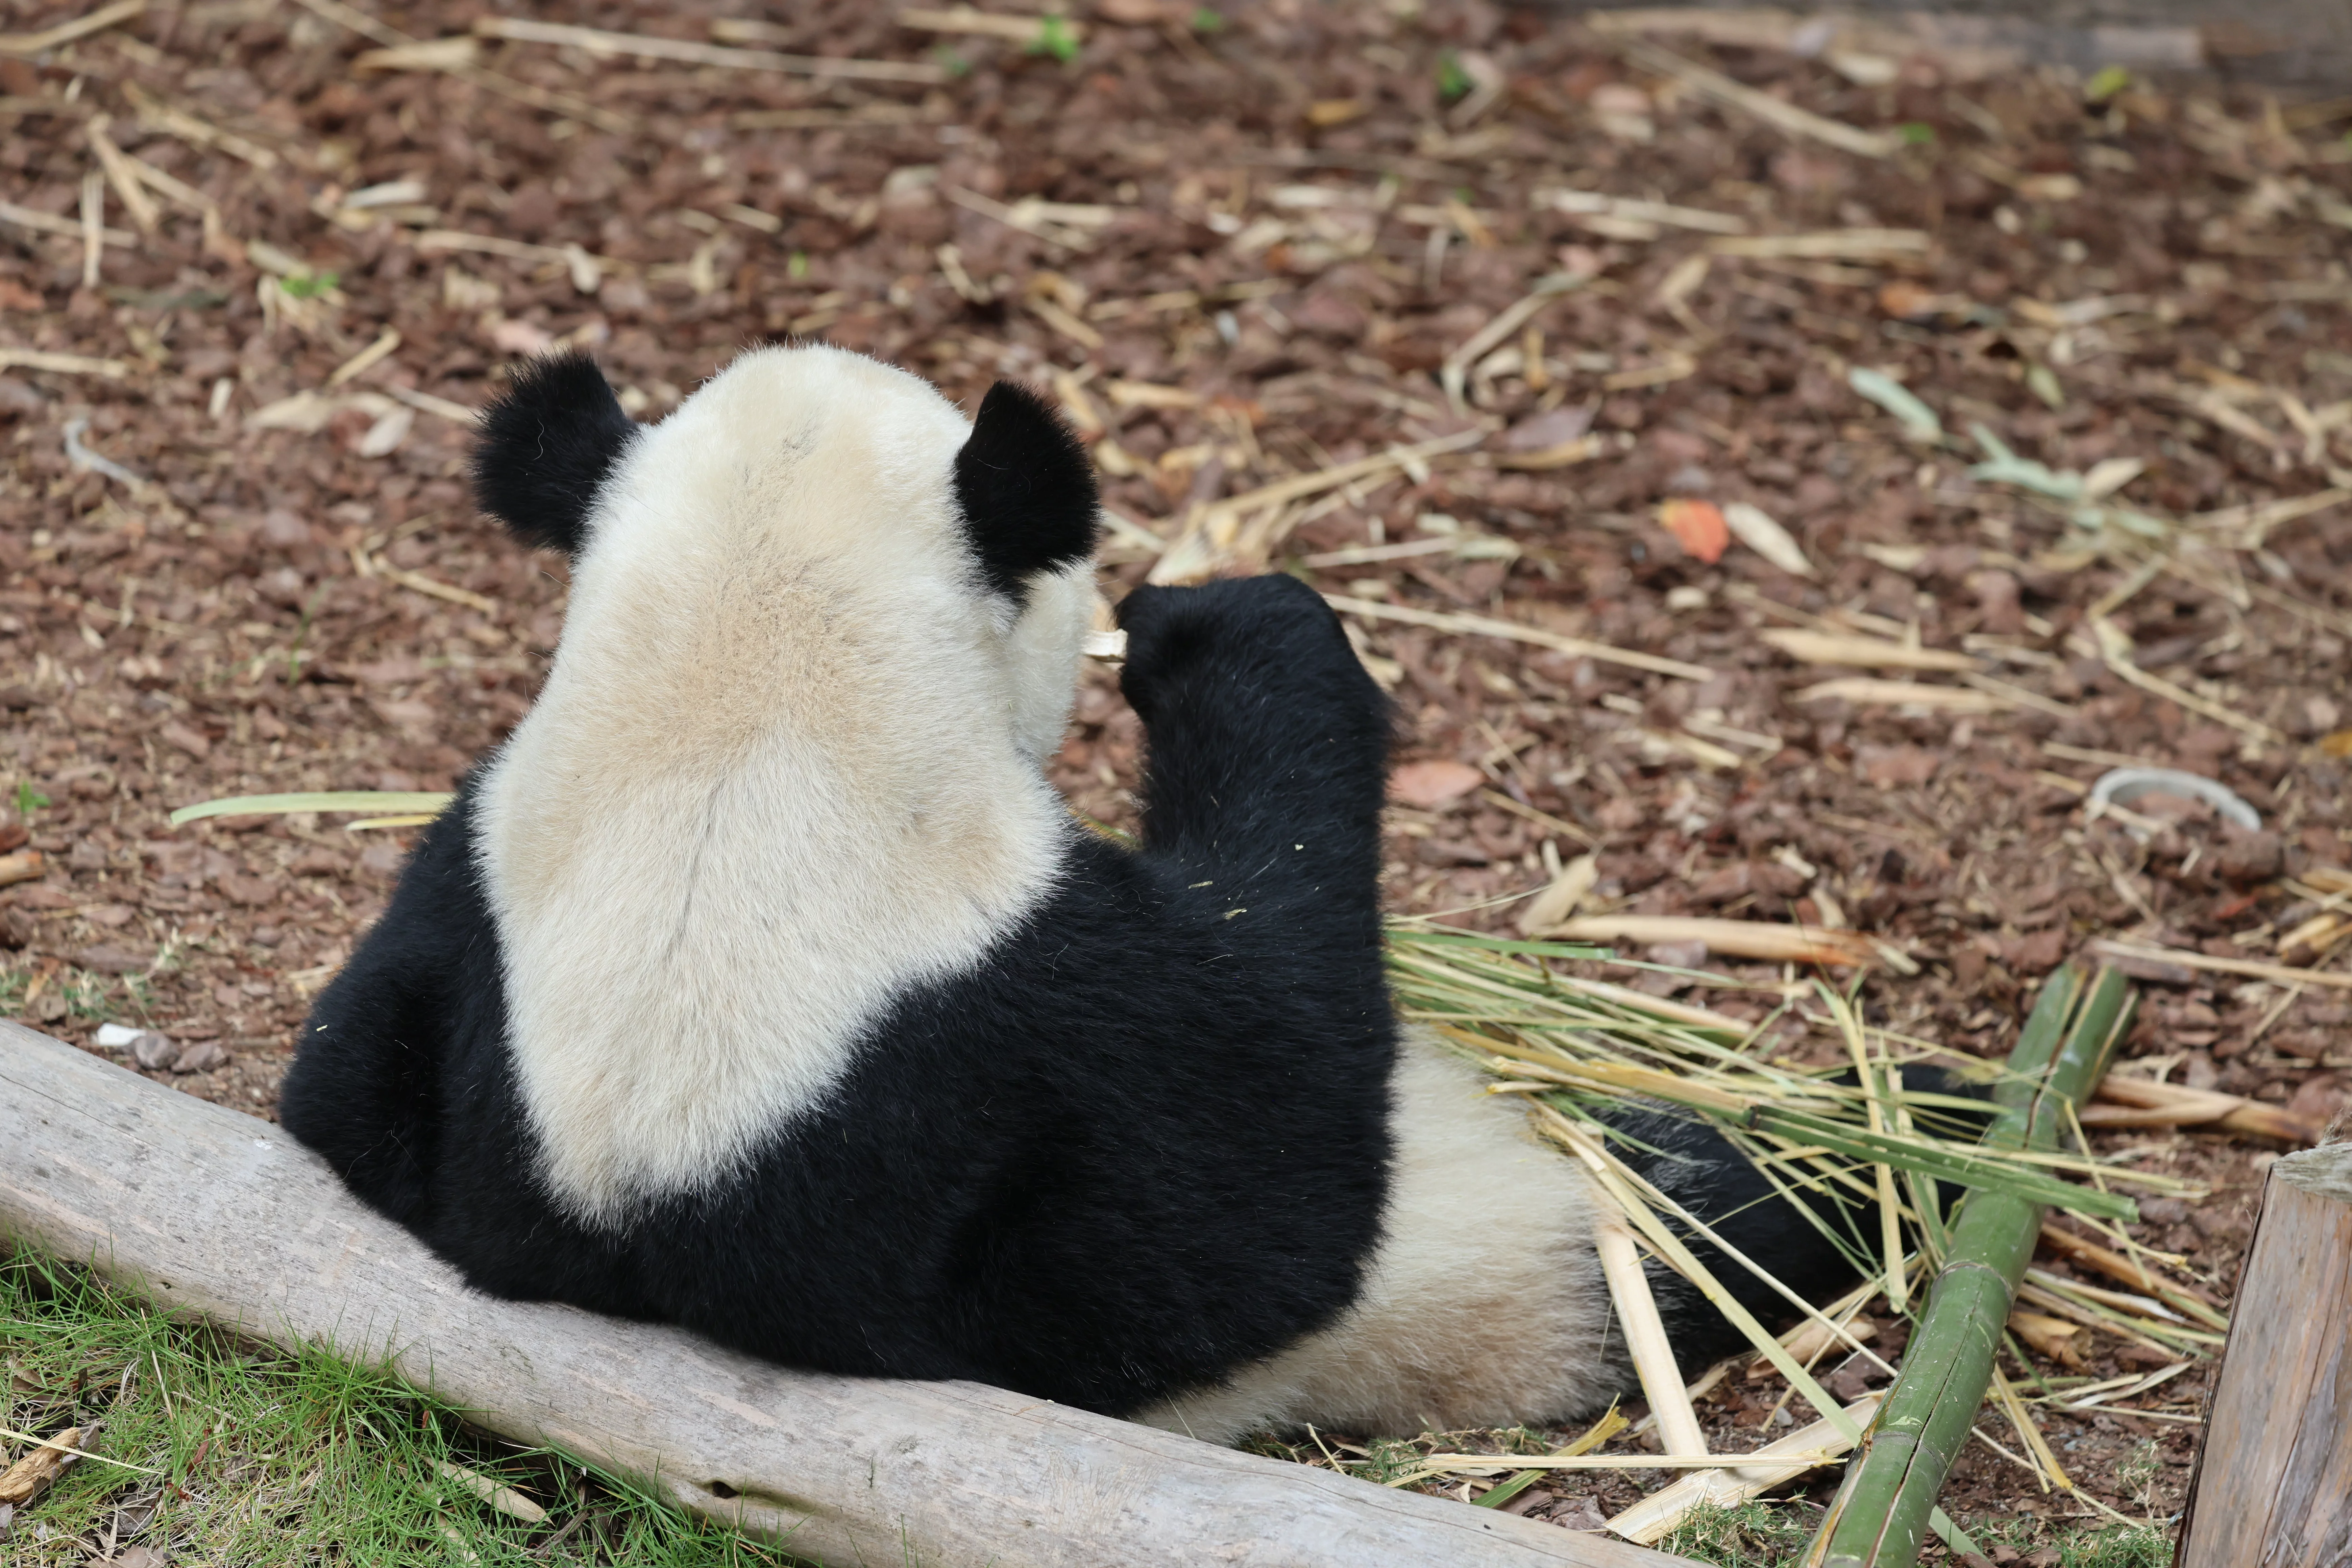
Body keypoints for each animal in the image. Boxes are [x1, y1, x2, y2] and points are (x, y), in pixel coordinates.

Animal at [280, 343, 1867, 1445]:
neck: (735, 726)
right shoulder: (1030, 1000)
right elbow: (1259, 1210)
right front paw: (1224, 632)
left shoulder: (470, 889)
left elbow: (335, 1090)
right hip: (1492, 1248)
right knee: (1681, 1221)